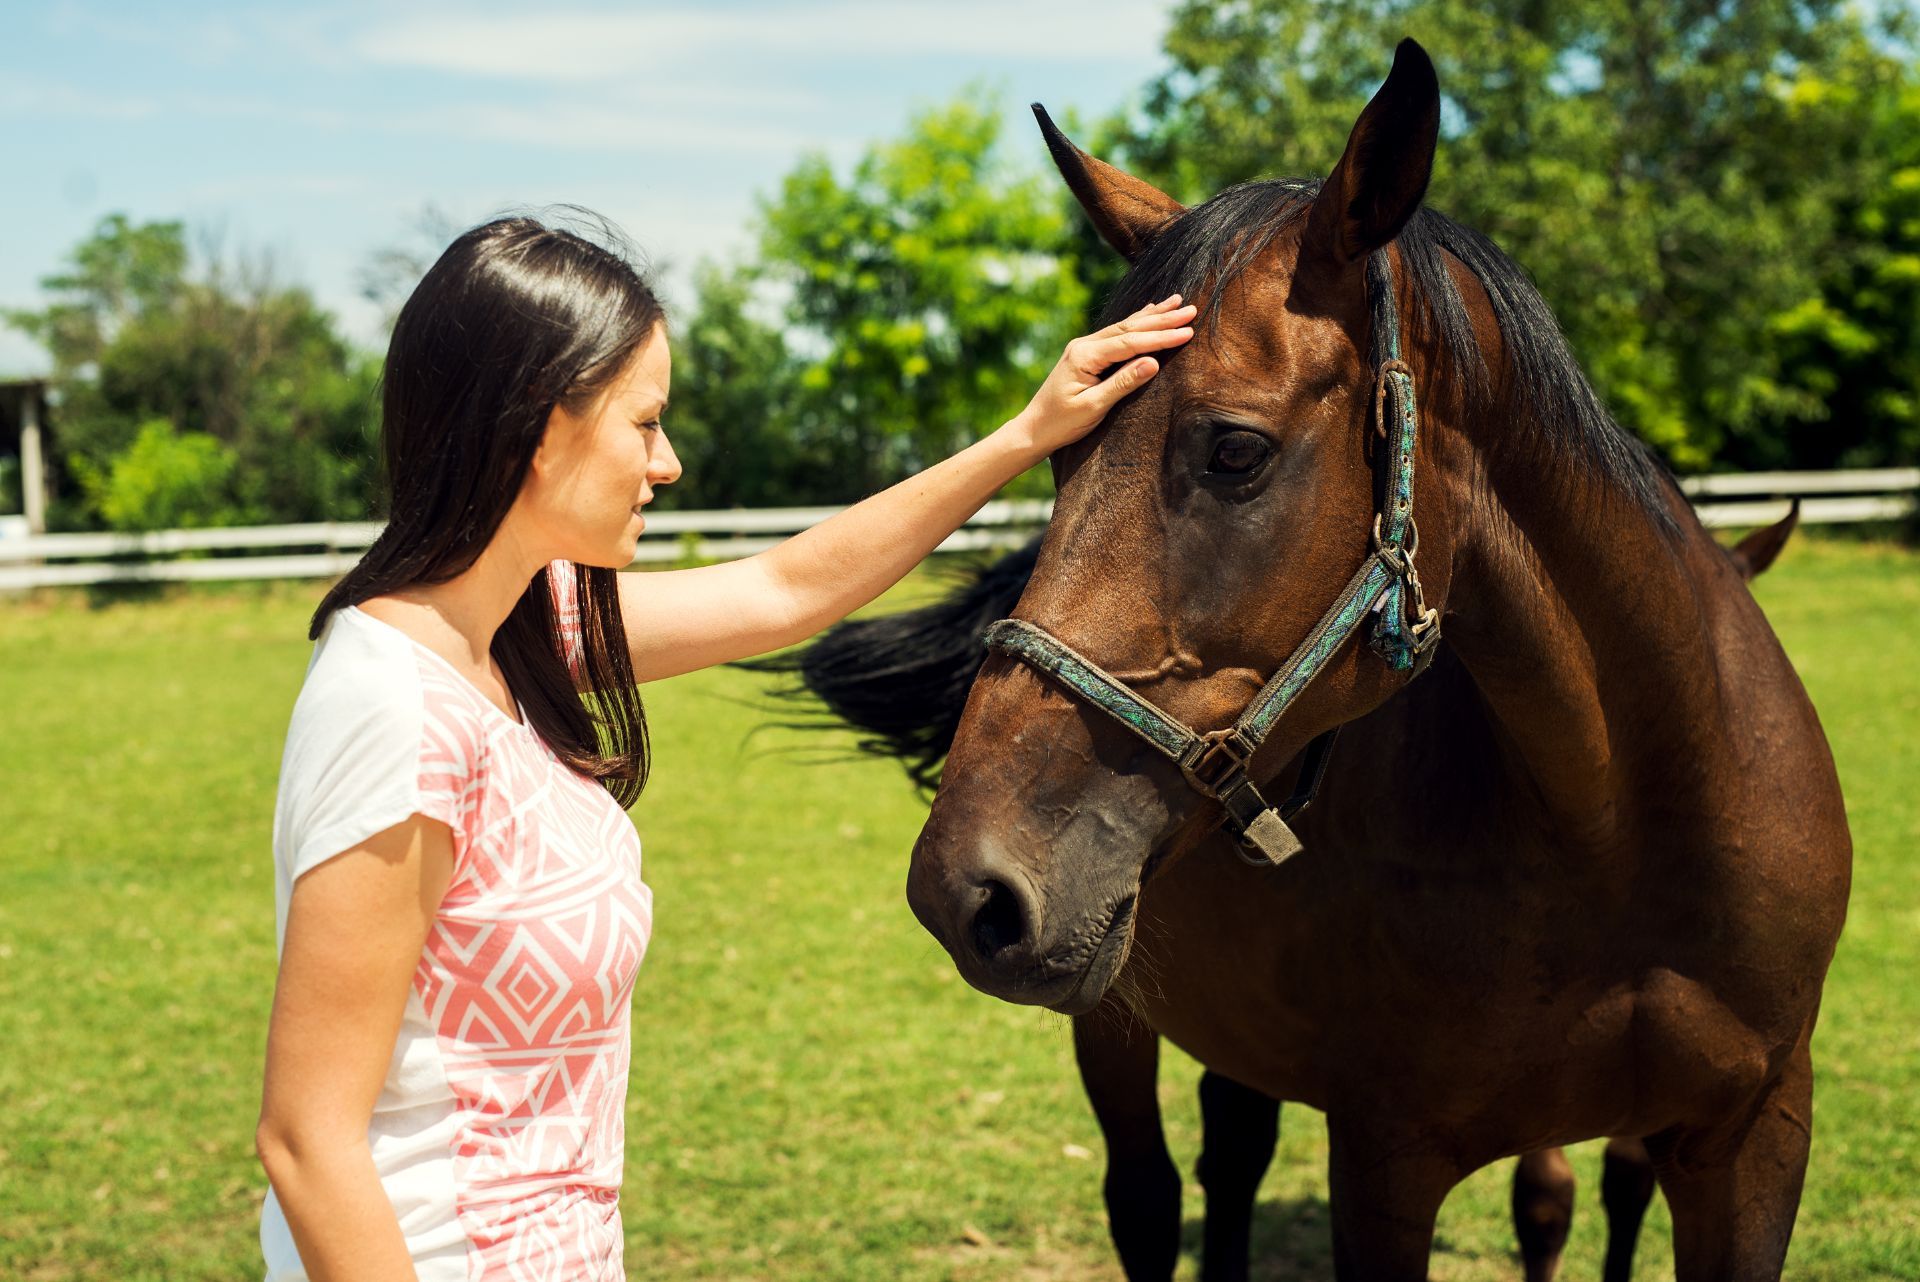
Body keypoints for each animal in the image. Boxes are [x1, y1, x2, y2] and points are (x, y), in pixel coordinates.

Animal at [766, 38, 1850, 1279]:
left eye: (1236, 450)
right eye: (1057, 453)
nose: (967, 887)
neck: (1627, 825)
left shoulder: (1756, 1138)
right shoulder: (1387, 1156)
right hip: (1112, 1015)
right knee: (1149, 1199)